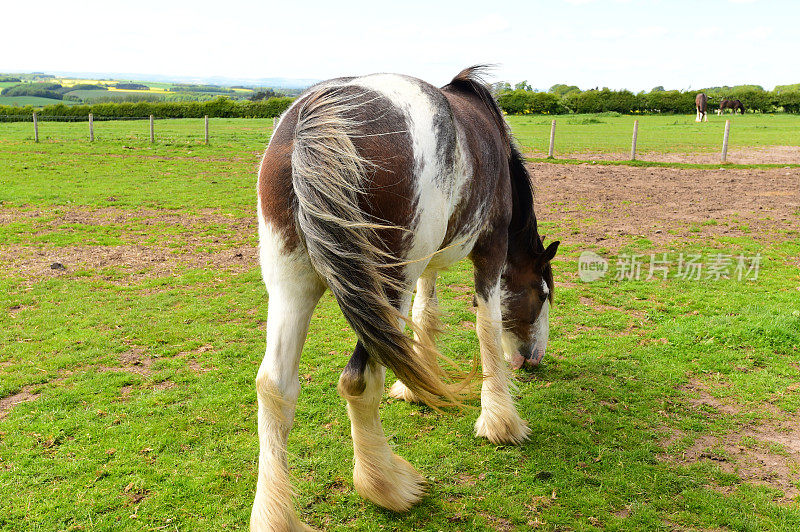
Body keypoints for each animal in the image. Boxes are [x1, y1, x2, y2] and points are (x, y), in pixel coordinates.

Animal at [253, 66, 560, 528]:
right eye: (542, 295)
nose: (533, 357)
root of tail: (316, 116)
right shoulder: (491, 248)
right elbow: (486, 327)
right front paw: (500, 421)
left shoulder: (427, 263)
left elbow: (426, 313)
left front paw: (416, 383)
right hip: (385, 285)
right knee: (359, 380)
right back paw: (388, 485)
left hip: (291, 284)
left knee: (275, 386)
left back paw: (278, 517)